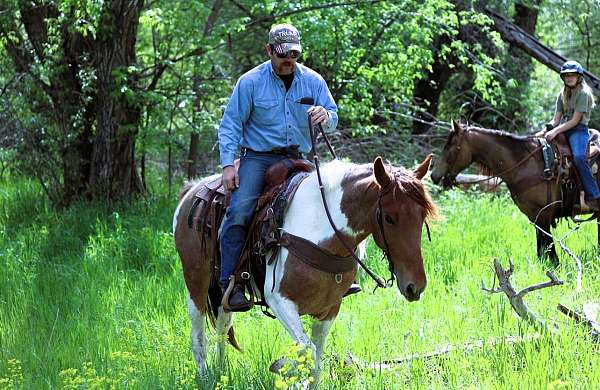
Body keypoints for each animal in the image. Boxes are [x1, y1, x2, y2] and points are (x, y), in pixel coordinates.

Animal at [172, 155, 436, 384]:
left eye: (422, 215)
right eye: (390, 218)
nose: (415, 286)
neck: (320, 232)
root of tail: (192, 189)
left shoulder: (330, 308)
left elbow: (316, 357)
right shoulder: (280, 301)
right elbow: (306, 350)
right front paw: (281, 366)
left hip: (223, 293)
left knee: (222, 327)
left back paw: (221, 373)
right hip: (196, 281)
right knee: (199, 334)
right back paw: (205, 377)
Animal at [428, 122, 596, 266]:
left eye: (451, 147)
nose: (434, 175)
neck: (525, 164)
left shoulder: (544, 216)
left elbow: (551, 255)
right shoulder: (535, 218)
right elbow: (541, 252)